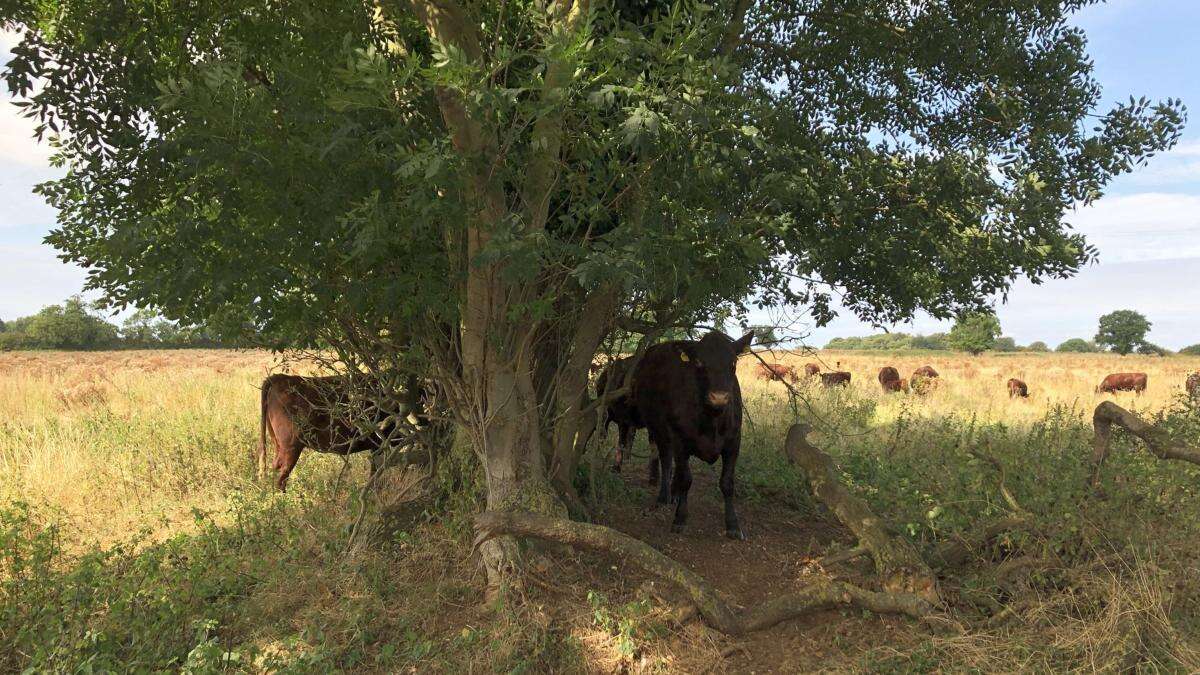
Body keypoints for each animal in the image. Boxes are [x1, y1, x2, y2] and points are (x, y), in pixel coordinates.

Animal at [628, 329, 748, 538]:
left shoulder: (734, 441)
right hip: (658, 429)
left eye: (733, 363)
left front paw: (733, 525)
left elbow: (727, 483)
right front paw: (680, 519)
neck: (711, 420)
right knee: (666, 461)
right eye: (699, 362)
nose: (719, 397)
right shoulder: (679, 439)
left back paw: (674, 494)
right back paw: (664, 496)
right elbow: (686, 479)